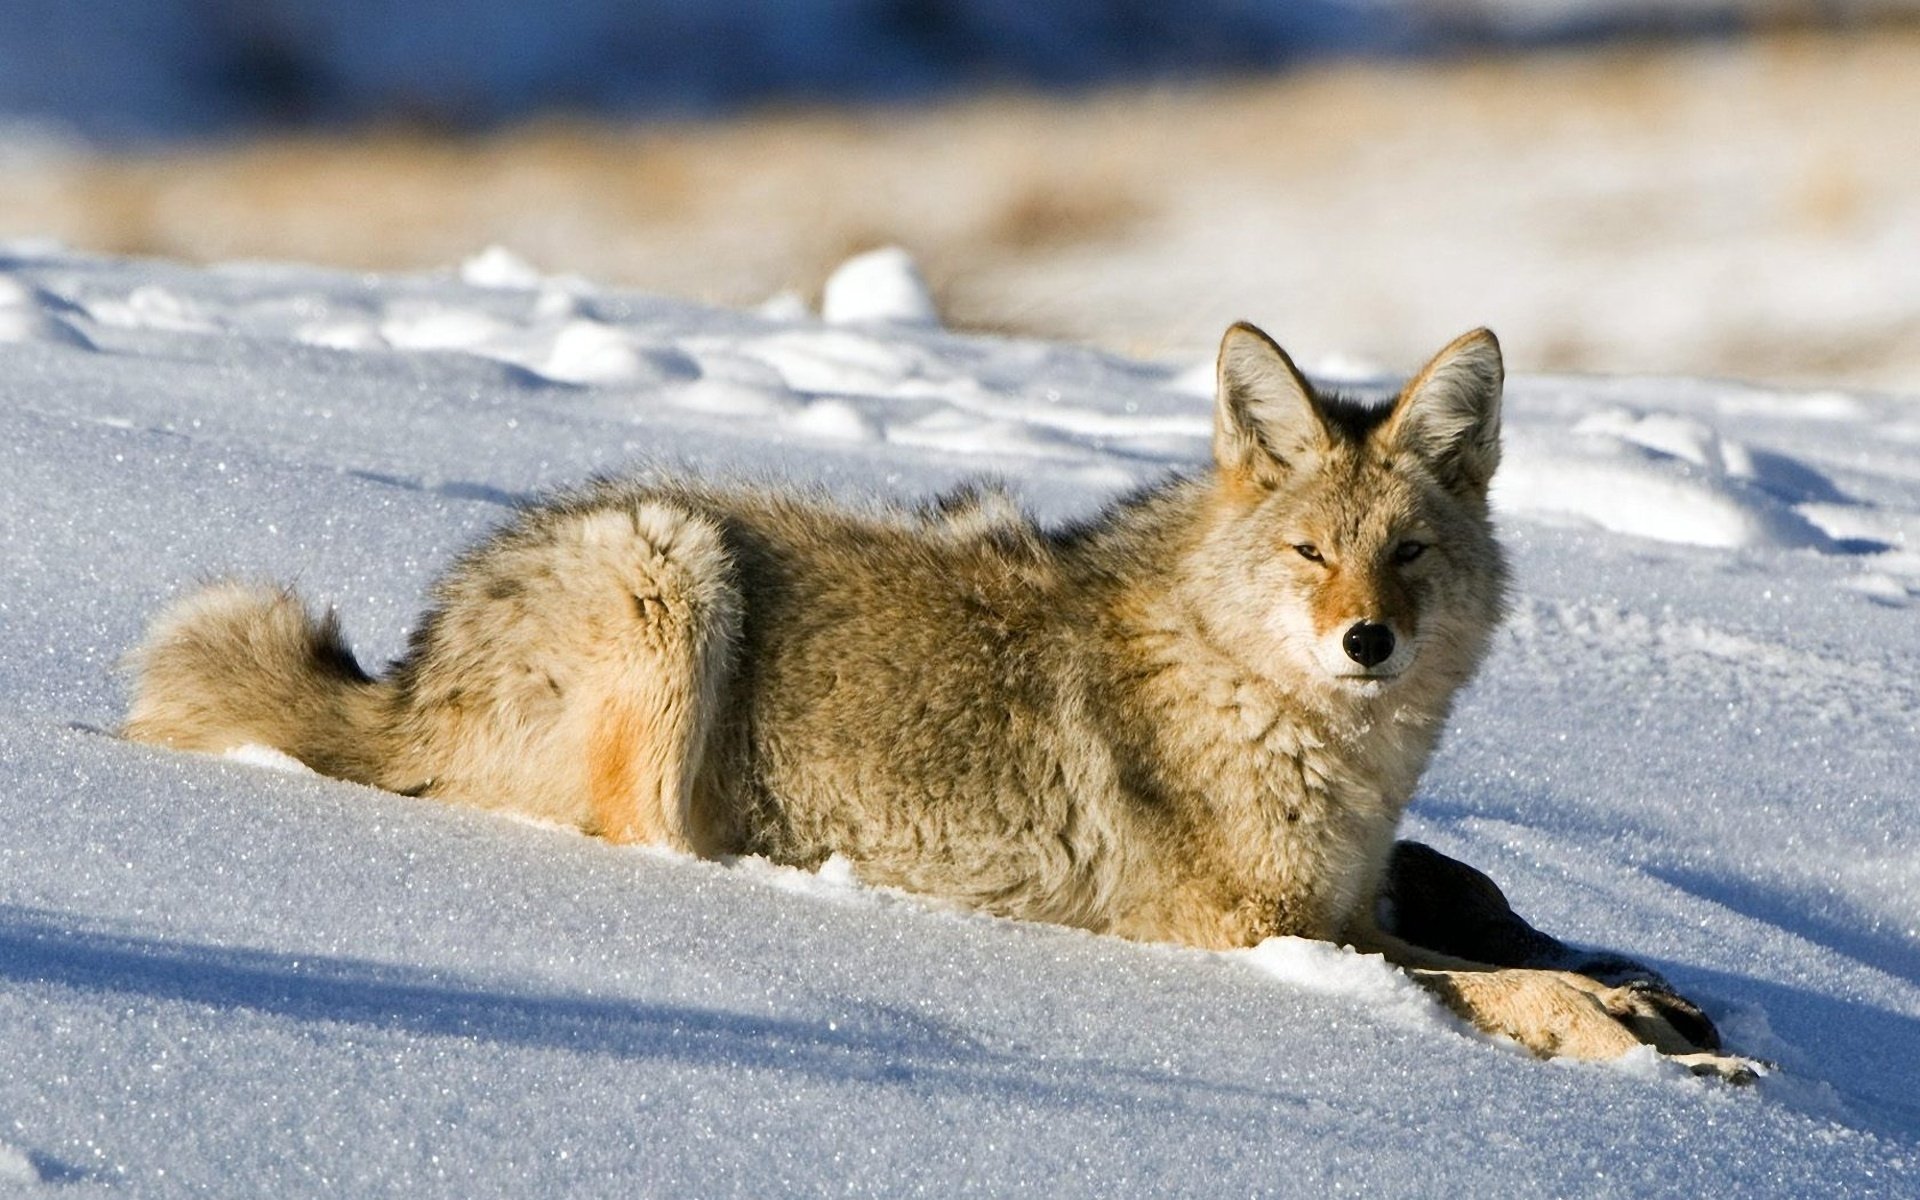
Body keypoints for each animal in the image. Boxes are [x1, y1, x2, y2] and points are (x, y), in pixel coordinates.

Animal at [124, 322, 1754, 1079]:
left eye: (1408, 554)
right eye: (1312, 553)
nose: (1368, 643)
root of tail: (418, 658)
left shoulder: (1351, 898)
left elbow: (1502, 933)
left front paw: (1655, 998)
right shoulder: (1254, 935)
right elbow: (1494, 989)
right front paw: (1649, 1047)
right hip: (673, 563)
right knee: (644, 840)